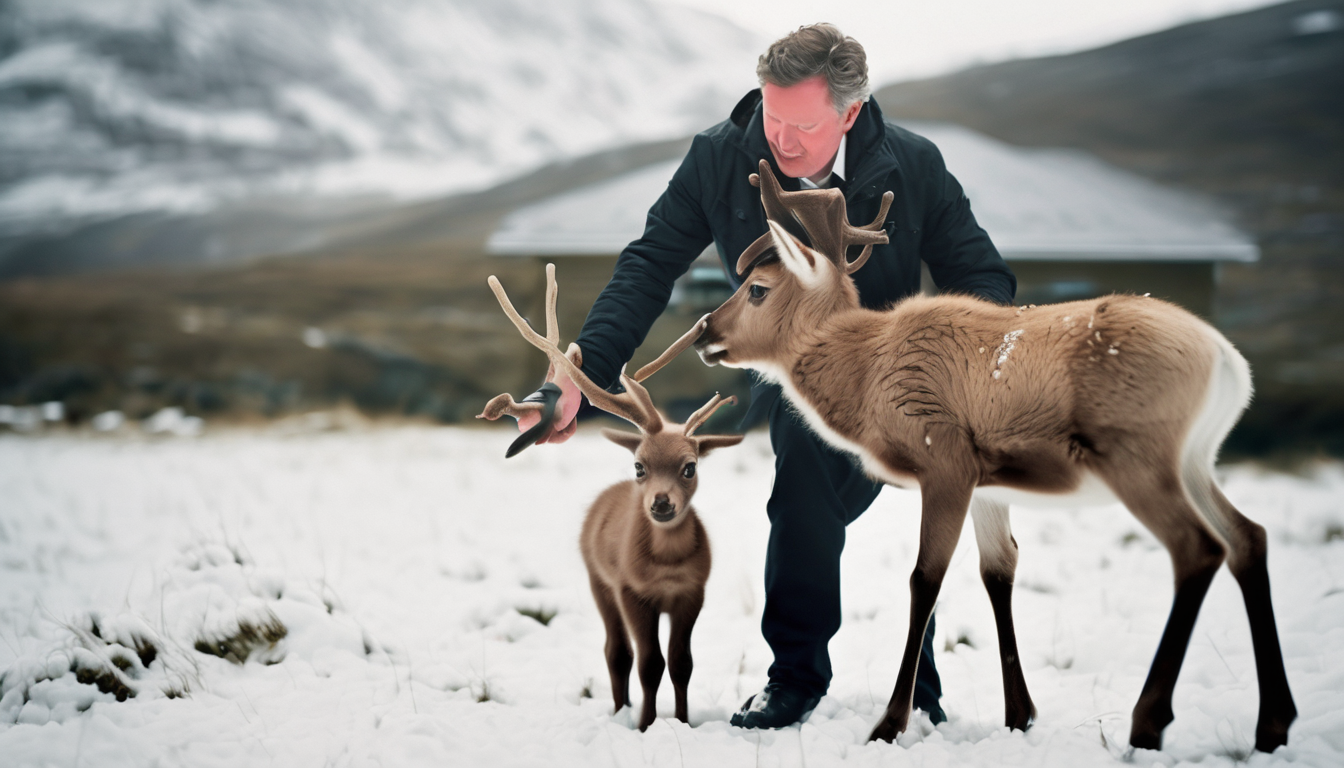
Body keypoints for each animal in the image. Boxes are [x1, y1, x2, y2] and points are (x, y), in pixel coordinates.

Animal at [477, 264, 745, 732]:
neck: (667, 567)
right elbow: (649, 663)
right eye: (639, 466)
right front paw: (647, 725)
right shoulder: (631, 589)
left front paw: (682, 721)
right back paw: (621, 711)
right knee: (616, 652)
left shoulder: (692, 592)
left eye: (690, 467)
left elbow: (682, 663)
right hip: (597, 579)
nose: (660, 503)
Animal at [687, 159, 1296, 752]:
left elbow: (925, 579)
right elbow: (998, 571)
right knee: (1248, 536)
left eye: (758, 288)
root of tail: (1227, 363)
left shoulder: (945, 457)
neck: (865, 374)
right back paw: (1273, 723)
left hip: (1137, 455)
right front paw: (1019, 714)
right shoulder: (989, 484)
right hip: (1194, 461)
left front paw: (890, 724)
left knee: (1197, 548)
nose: (702, 333)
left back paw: (1149, 722)